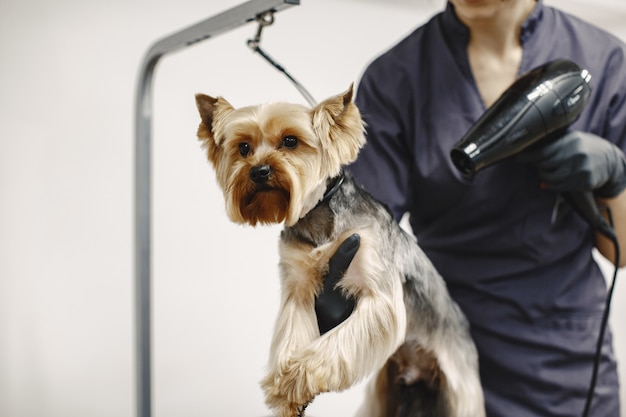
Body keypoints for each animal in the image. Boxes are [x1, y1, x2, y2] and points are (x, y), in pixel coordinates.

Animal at [193, 85, 486, 416]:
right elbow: (292, 335)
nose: (259, 171)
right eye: (243, 148)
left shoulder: (377, 293)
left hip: (460, 390)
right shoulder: (299, 288)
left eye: (290, 141)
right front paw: (286, 389)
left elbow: (335, 344)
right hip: (384, 394)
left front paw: (295, 379)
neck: (317, 215)